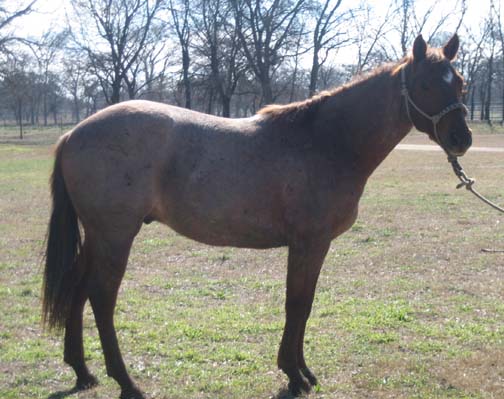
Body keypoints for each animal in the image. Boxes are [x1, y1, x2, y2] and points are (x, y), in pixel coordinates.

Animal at [43, 35, 472, 399]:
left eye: (461, 84)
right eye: (426, 85)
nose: (461, 140)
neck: (326, 141)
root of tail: (74, 133)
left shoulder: (314, 246)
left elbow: (305, 303)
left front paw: (303, 371)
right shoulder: (308, 243)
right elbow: (296, 304)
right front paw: (294, 375)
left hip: (98, 236)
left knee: (77, 289)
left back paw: (82, 371)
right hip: (115, 235)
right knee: (101, 297)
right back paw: (126, 382)